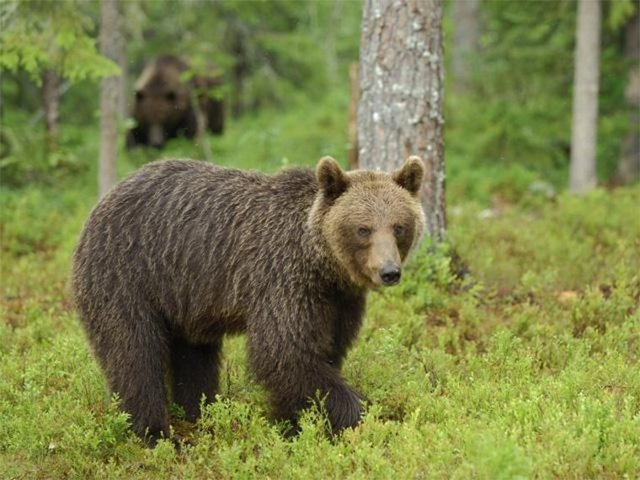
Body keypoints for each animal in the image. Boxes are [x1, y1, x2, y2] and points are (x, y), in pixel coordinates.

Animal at [71, 156, 426, 445]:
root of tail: (101, 203)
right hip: (127, 274)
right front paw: (364, 414)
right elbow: (284, 352)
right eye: (363, 229)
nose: (389, 271)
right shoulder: (282, 281)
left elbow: (324, 352)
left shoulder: (339, 302)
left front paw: (293, 423)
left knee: (194, 357)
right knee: (134, 352)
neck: (322, 266)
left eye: (399, 226)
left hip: (185, 297)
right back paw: (155, 432)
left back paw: (200, 413)